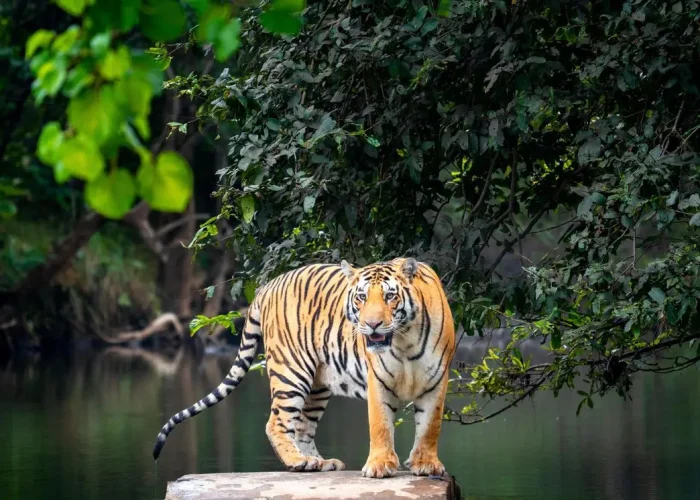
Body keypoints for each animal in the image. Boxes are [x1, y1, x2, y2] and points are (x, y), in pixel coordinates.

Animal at [152, 257, 456, 478]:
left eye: (390, 296)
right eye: (361, 297)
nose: (372, 325)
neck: (404, 341)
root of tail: (268, 285)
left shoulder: (436, 380)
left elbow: (430, 426)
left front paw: (425, 464)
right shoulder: (378, 380)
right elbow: (380, 424)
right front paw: (380, 466)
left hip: (318, 384)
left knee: (302, 427)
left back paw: (317, 461)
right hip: (291, 373)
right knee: (276, 423)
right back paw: (298, 461)